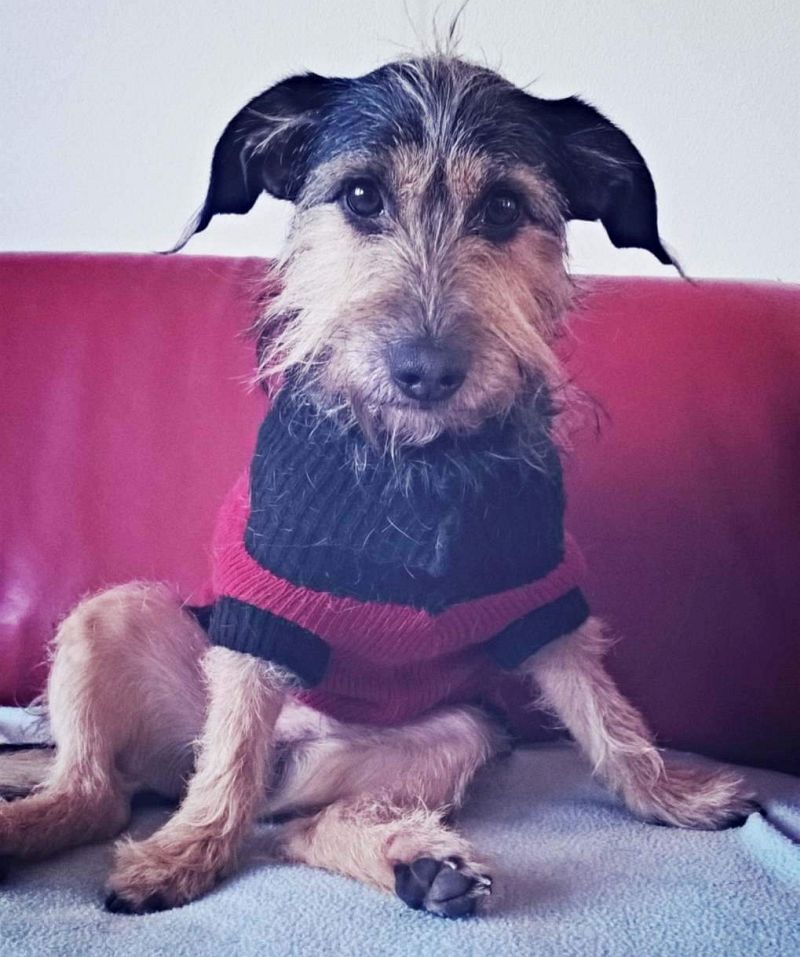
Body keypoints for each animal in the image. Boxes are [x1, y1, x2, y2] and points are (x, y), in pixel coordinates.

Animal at [0, 51, 755, 918]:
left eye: (504, 207)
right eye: (362, 197)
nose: (426, 370)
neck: (414, 461)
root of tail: (291, 755)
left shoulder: (541, 589)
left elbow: (605, 710)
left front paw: (672, 794)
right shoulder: (263, 601)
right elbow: (226, 754)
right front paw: (185, 852)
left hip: (454, 733)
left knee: (297, 827)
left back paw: (422, 863)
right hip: (113, 615)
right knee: (115, 789)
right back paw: (42, 824)